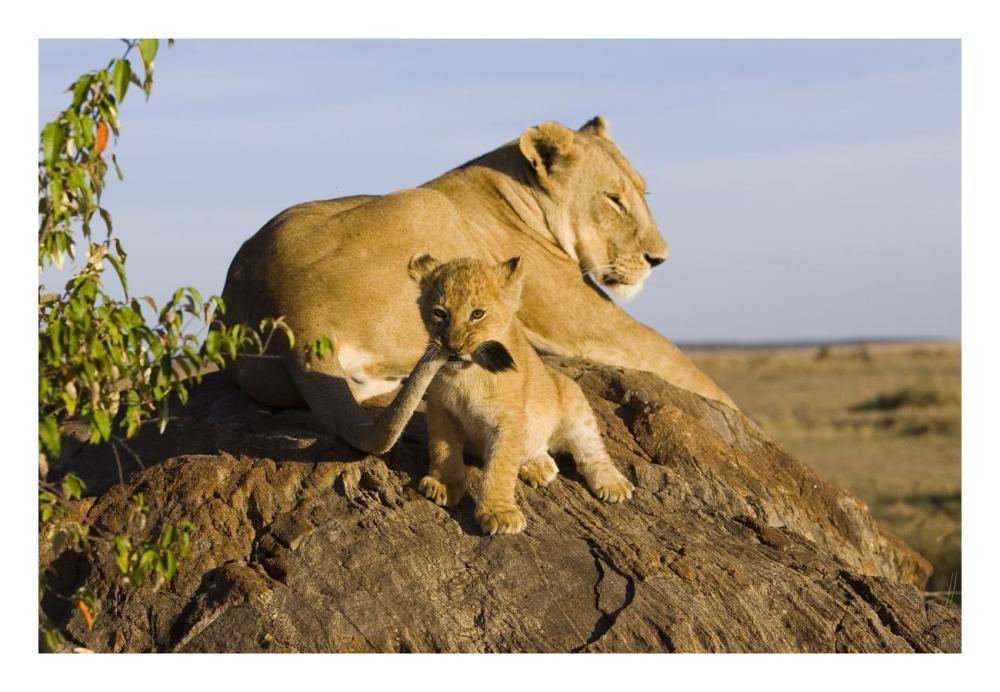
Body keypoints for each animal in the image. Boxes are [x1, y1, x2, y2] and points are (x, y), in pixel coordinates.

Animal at [221, 116, 735, 453]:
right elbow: (677, 360)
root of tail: (295, 319)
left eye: (643, 193)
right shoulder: (583, 319)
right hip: (425, 206)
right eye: (614, 199)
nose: (659, 259)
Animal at [408, 254, 634, 535]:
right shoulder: (441, 409)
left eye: (477, 314)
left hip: (574, 404)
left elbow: (501, 467)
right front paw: (443, 484)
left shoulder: (509, 420)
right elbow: (442, 448)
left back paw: (614, 484)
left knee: (592, 451)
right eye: (440, 313)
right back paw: (539, 467)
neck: (467, 374)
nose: (453, 346)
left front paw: (499, 513)